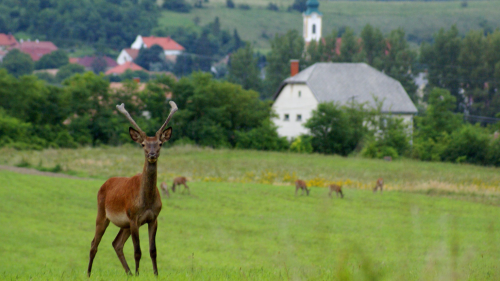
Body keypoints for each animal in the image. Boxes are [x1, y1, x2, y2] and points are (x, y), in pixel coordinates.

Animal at [87, 100, 177, 276]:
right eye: (143, 144)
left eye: (160, 143)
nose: (152, 154)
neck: (146, 201)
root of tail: (104, 184)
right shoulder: (134, 217)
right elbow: (137, 251)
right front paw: (138, 274)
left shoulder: (153, 218)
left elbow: (153, 250)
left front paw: (155, 275)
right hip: (103, 213)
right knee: (94, 244)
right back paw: (88, 274)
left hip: (125, 224)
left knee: (116, 243)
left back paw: (128, 273)